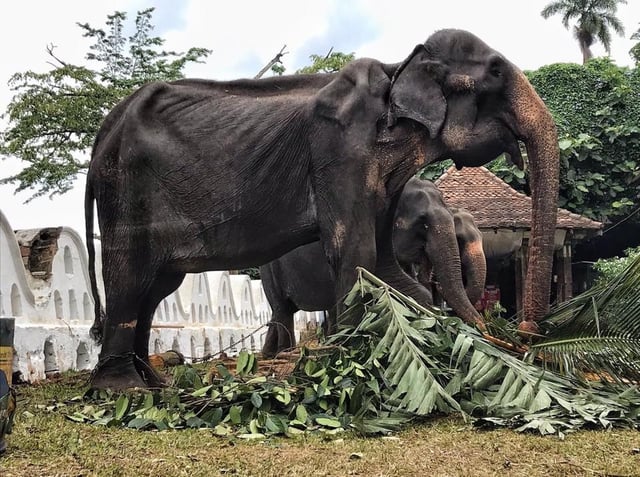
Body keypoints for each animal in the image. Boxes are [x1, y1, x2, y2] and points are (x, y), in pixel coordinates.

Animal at [261, 177, 486, 357]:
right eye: (423, 224)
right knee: (283, 310)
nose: (486, 331)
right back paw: (285, 353)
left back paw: (270, 354)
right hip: (270, 271)